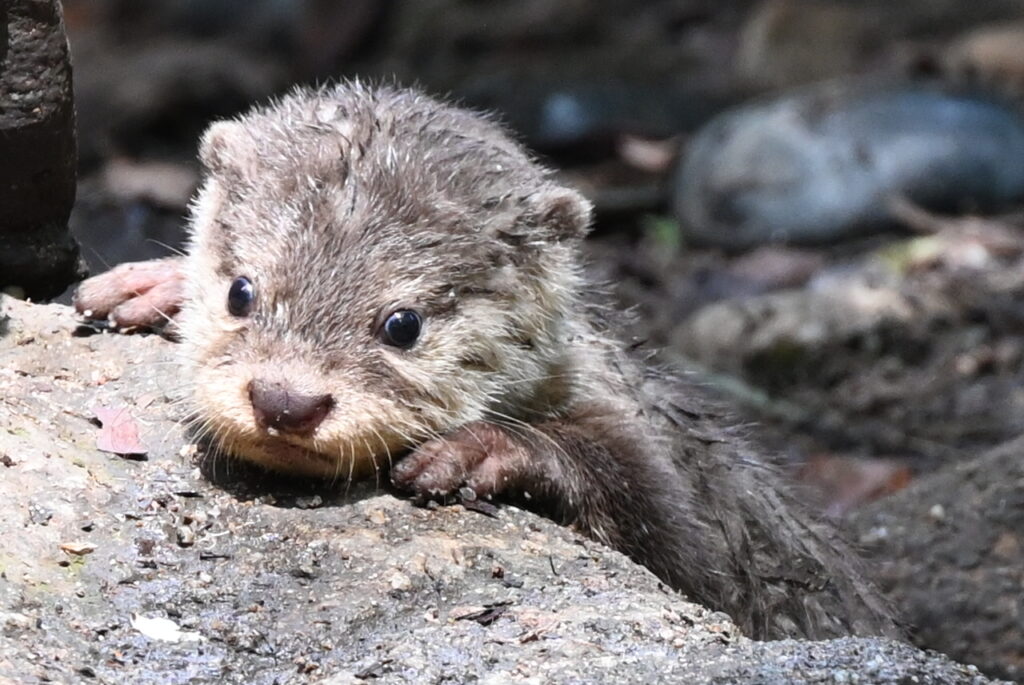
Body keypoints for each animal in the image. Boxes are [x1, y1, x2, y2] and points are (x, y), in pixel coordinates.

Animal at [74, 82, 901, 641]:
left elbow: (673, 537)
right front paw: (157, 283)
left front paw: (483, 449)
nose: (286, 399)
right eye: (241, 291)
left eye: (401, 324)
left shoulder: (687, 506)